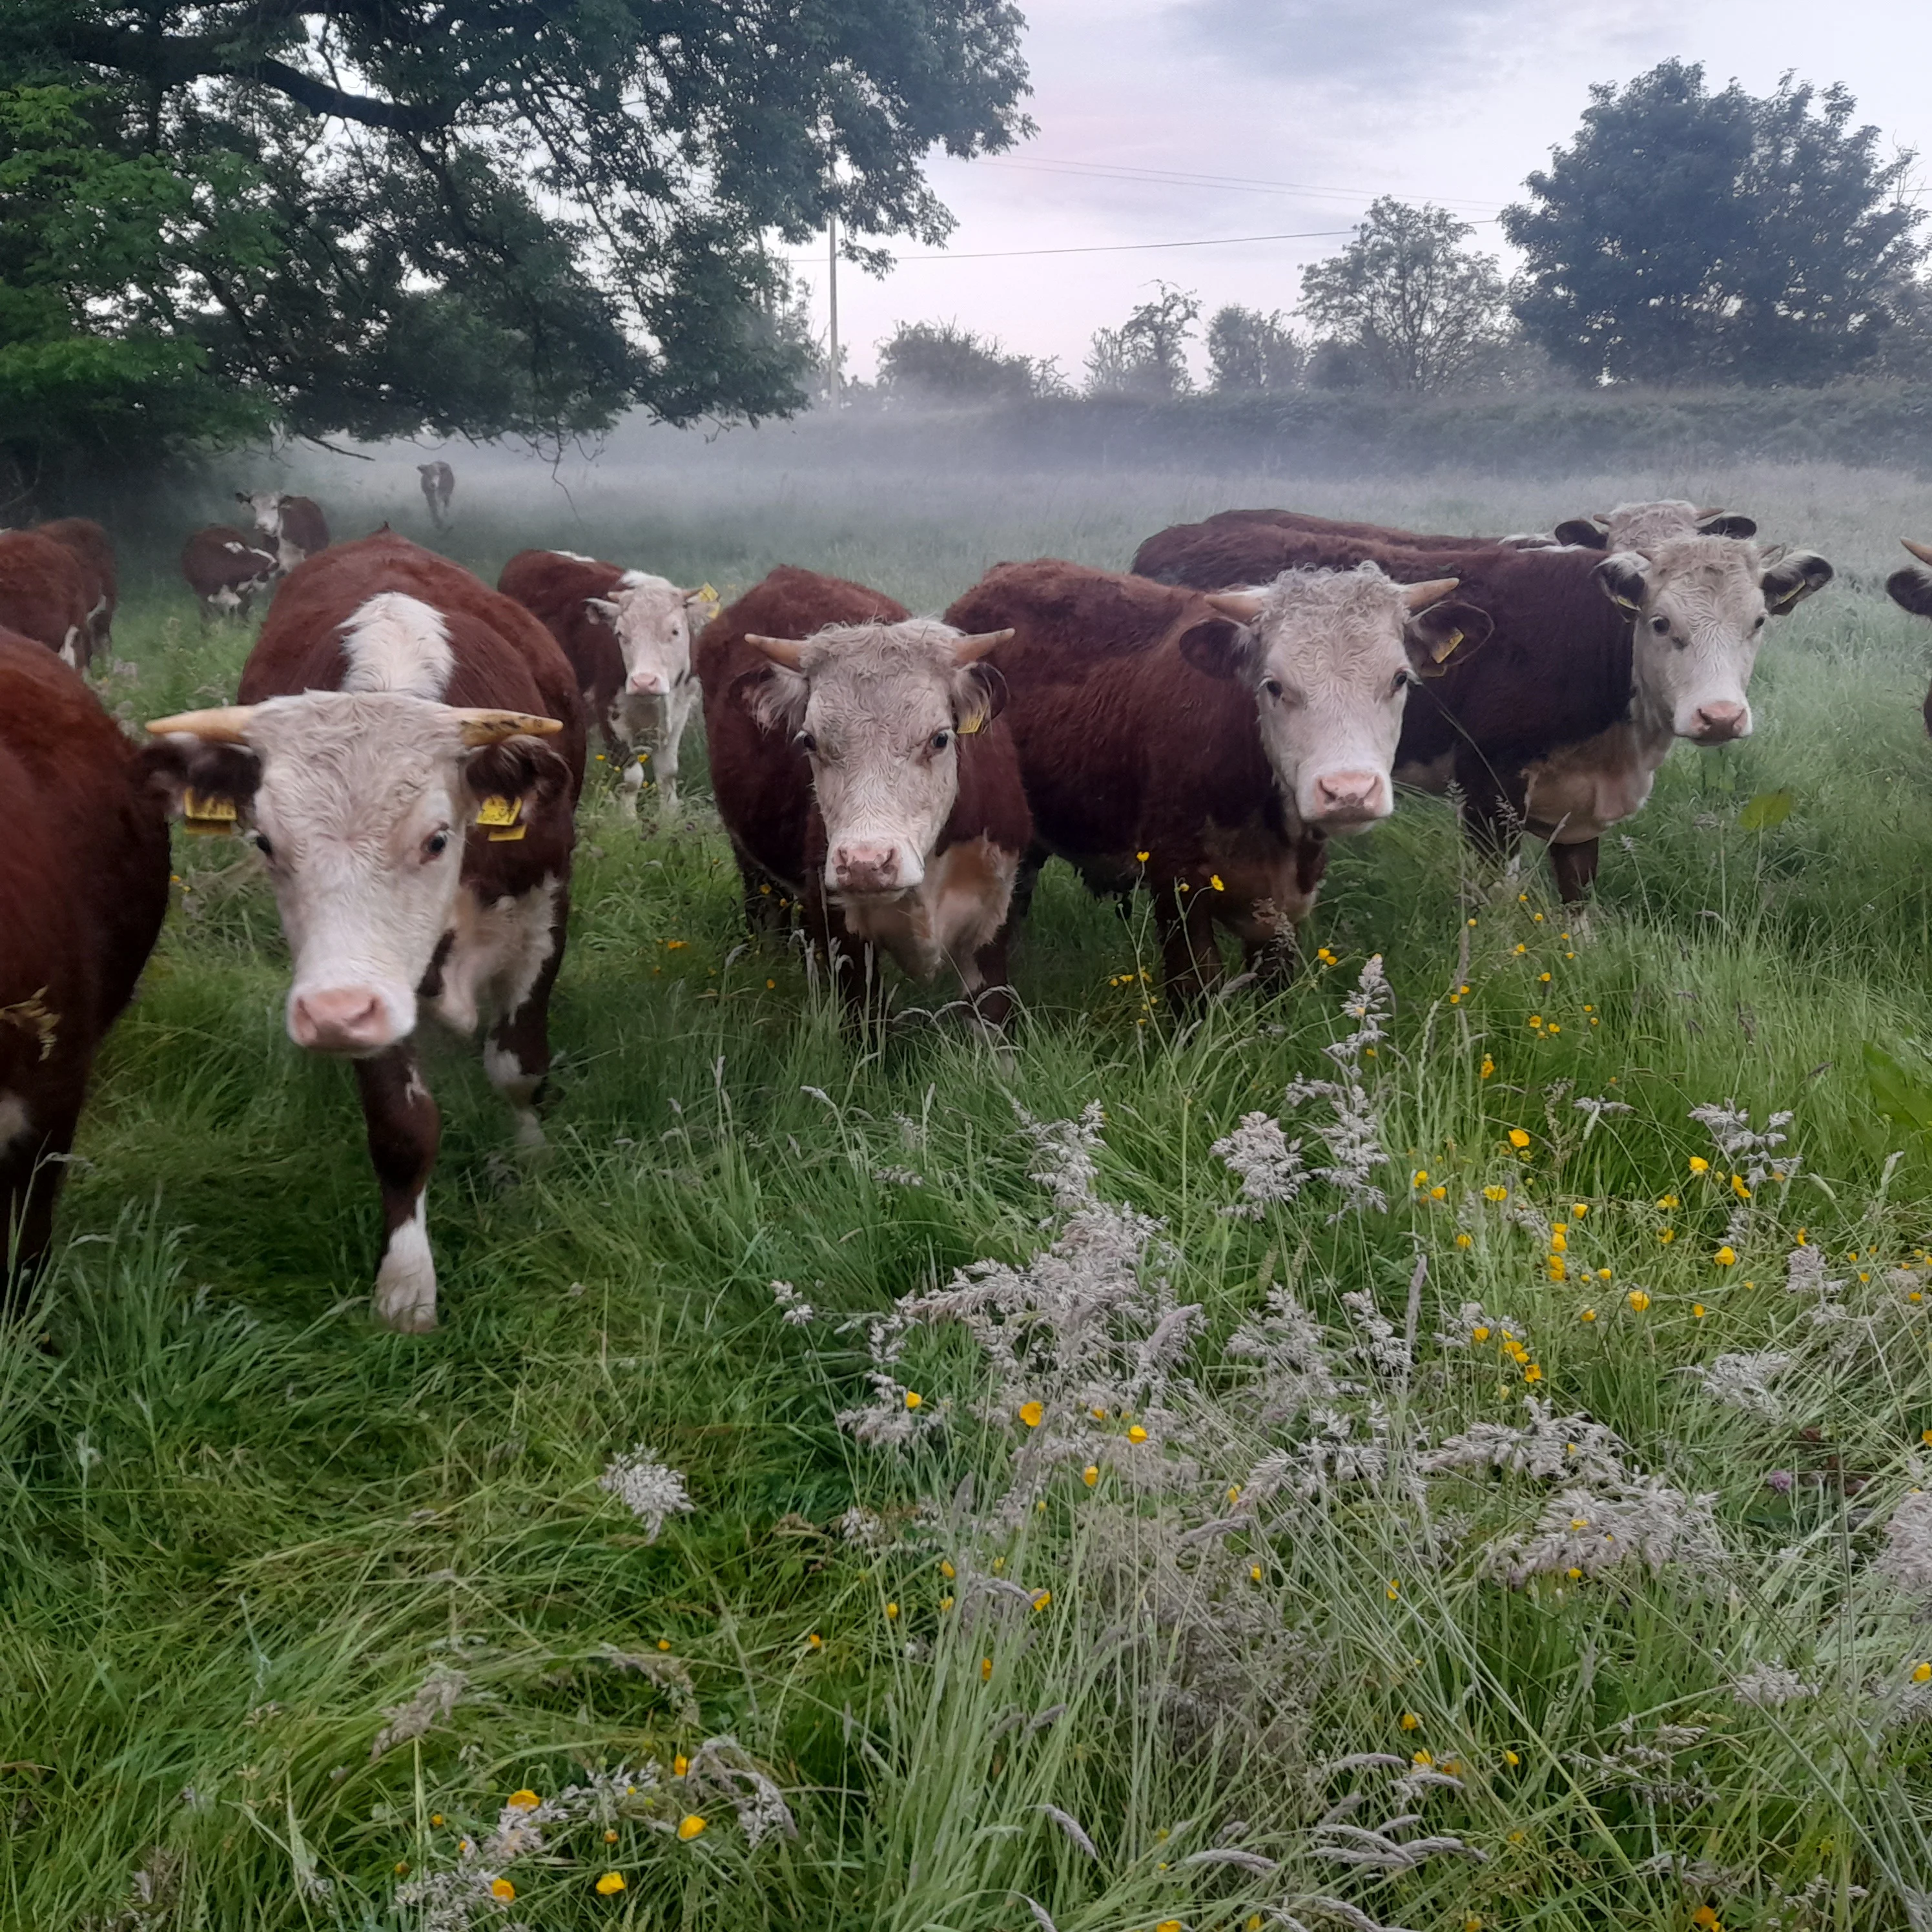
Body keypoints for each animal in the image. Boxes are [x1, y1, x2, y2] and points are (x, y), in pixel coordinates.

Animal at [181, 525, 280, 626]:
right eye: (259, 558)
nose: (276, 563)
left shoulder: (243, 591)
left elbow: (242, 609)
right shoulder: (203, 592)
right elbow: (205, 612)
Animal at [497, 549, 708, 818]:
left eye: (675, 631)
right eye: (620, 634)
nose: (644, 682)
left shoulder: (681, 708)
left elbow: (668, 771)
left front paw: (670, 816)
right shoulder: (608, 709)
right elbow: (631, 777)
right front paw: (628, 820)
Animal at [698, 566, 1031, 1030]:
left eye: (939, 738)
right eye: (809, 741)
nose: (865, 863)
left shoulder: (993, 916)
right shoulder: (841, 930)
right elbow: (866, 1024)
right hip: (750, 860)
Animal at [942, 559, 1489, 1004]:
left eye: (1399, 679)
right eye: (1274, 685)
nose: (1348, 792)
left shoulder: (1284, 906)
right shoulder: (1177, 886)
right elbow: (1194, 990)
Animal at [1132, 516, 1830, 903]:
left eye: (1757, 621)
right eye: (1660, 623)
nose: (1720, 717)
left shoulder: (1582, 802)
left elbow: (1578, 894)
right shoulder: (1488, 788)